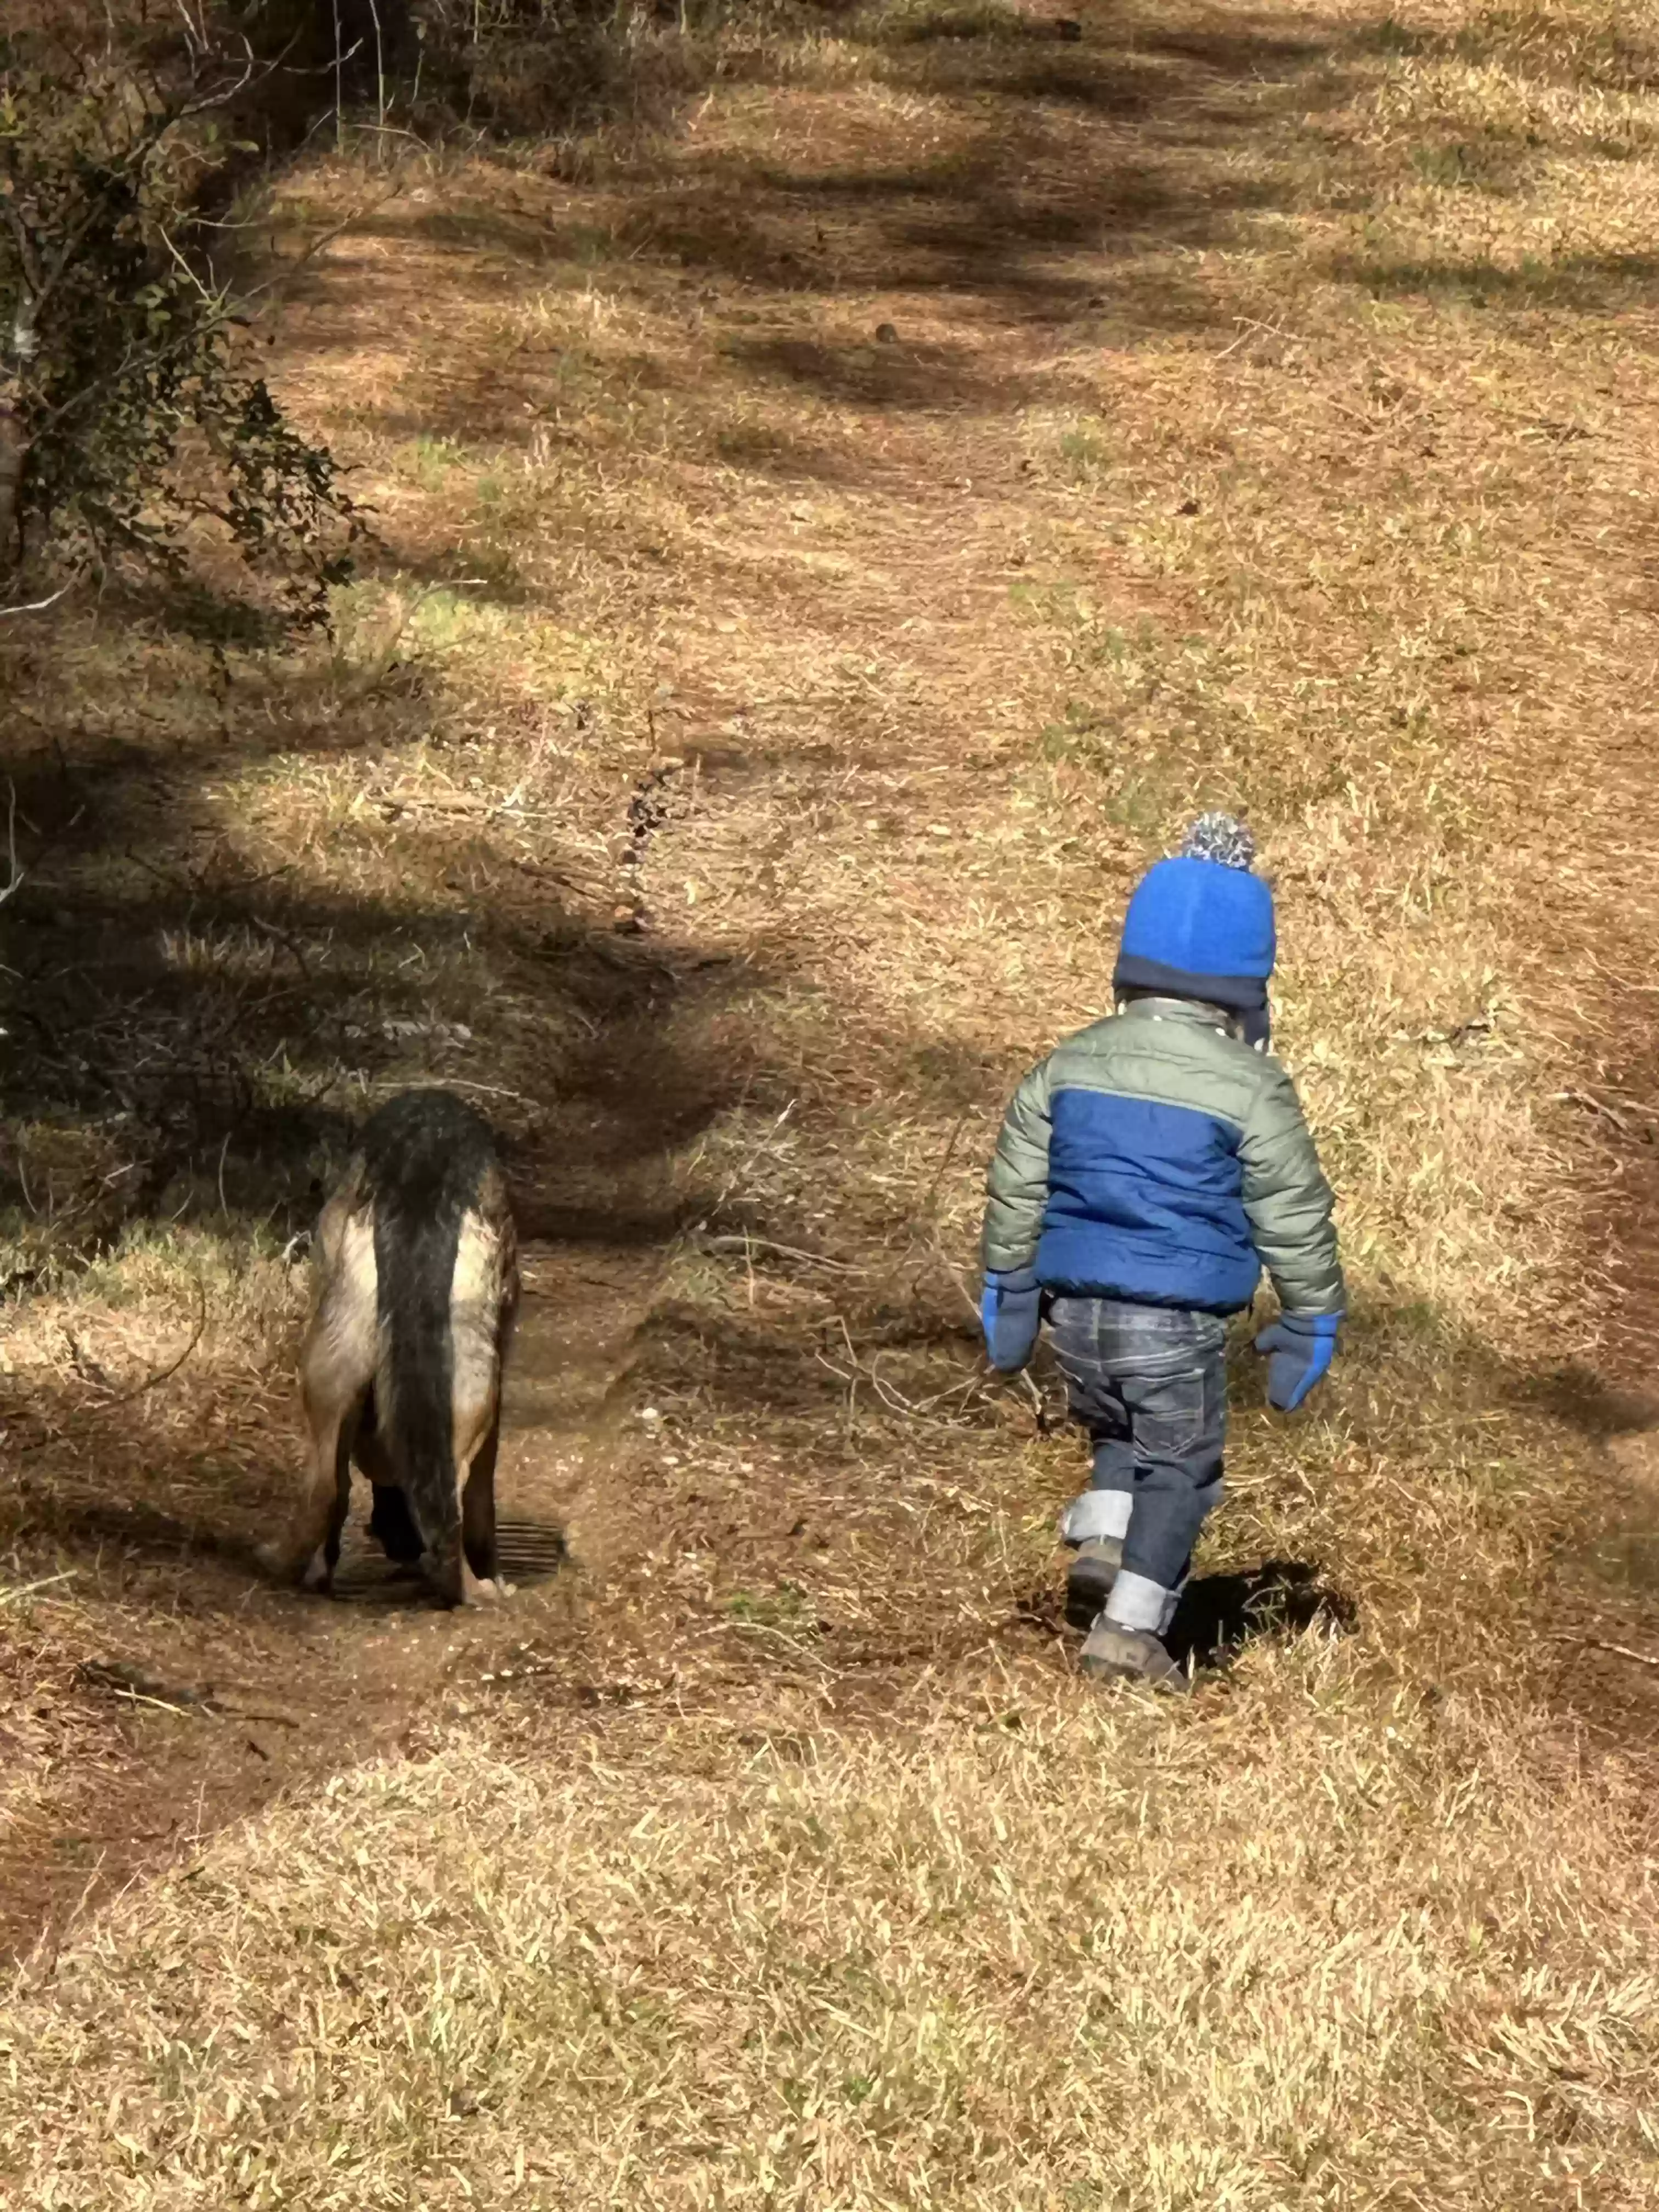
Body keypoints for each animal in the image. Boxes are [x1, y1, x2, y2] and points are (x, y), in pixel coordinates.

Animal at [264, 1088, 520, 1610]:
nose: (398, 1545)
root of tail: (421, 1181)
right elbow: (483, 1506)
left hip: (330, 1363)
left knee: (327, 1488)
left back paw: (290, 1568)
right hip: (471, 1376)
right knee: (453, 1497)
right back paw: (471, 1590)